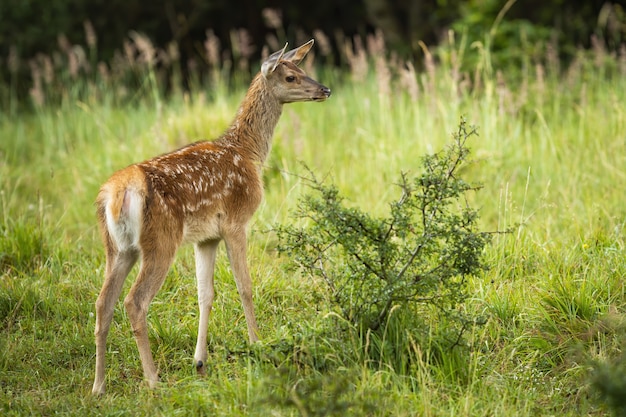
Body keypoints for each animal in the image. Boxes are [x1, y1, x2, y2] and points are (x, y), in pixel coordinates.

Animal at [90, 39, 330, 394]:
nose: (325, 89)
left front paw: (200, 361)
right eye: (290, 77)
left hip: (118, 247)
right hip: (160, 241)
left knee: (103, 303)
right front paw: (257, 345)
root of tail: (117, 195)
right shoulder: (235, 222)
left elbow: (205, 294)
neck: (248, 153)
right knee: (134, 302)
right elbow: (245, 286)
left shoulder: (205, 238)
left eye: (302, 69)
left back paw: (99, 386)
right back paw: (153, 381)